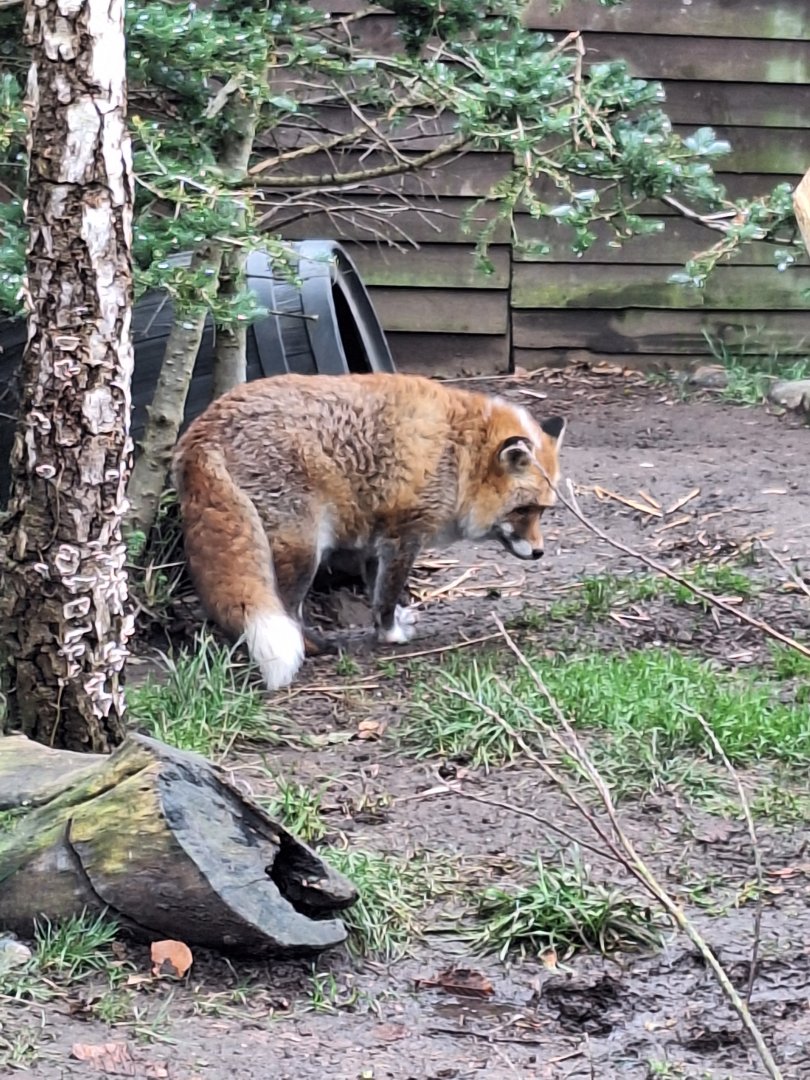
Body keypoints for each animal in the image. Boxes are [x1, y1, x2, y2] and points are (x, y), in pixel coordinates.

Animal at [172, 372, 566, 691]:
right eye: (524, 510)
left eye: (544, 511)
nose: (539, 552)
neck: (460, 454)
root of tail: (204, 427)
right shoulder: (404, 536)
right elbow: (387, 596)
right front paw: (391, 636)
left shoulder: (379, 539)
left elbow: (377, 595)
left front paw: (390, 625)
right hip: (304, 551)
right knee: (287, 611)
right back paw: (318, 648)